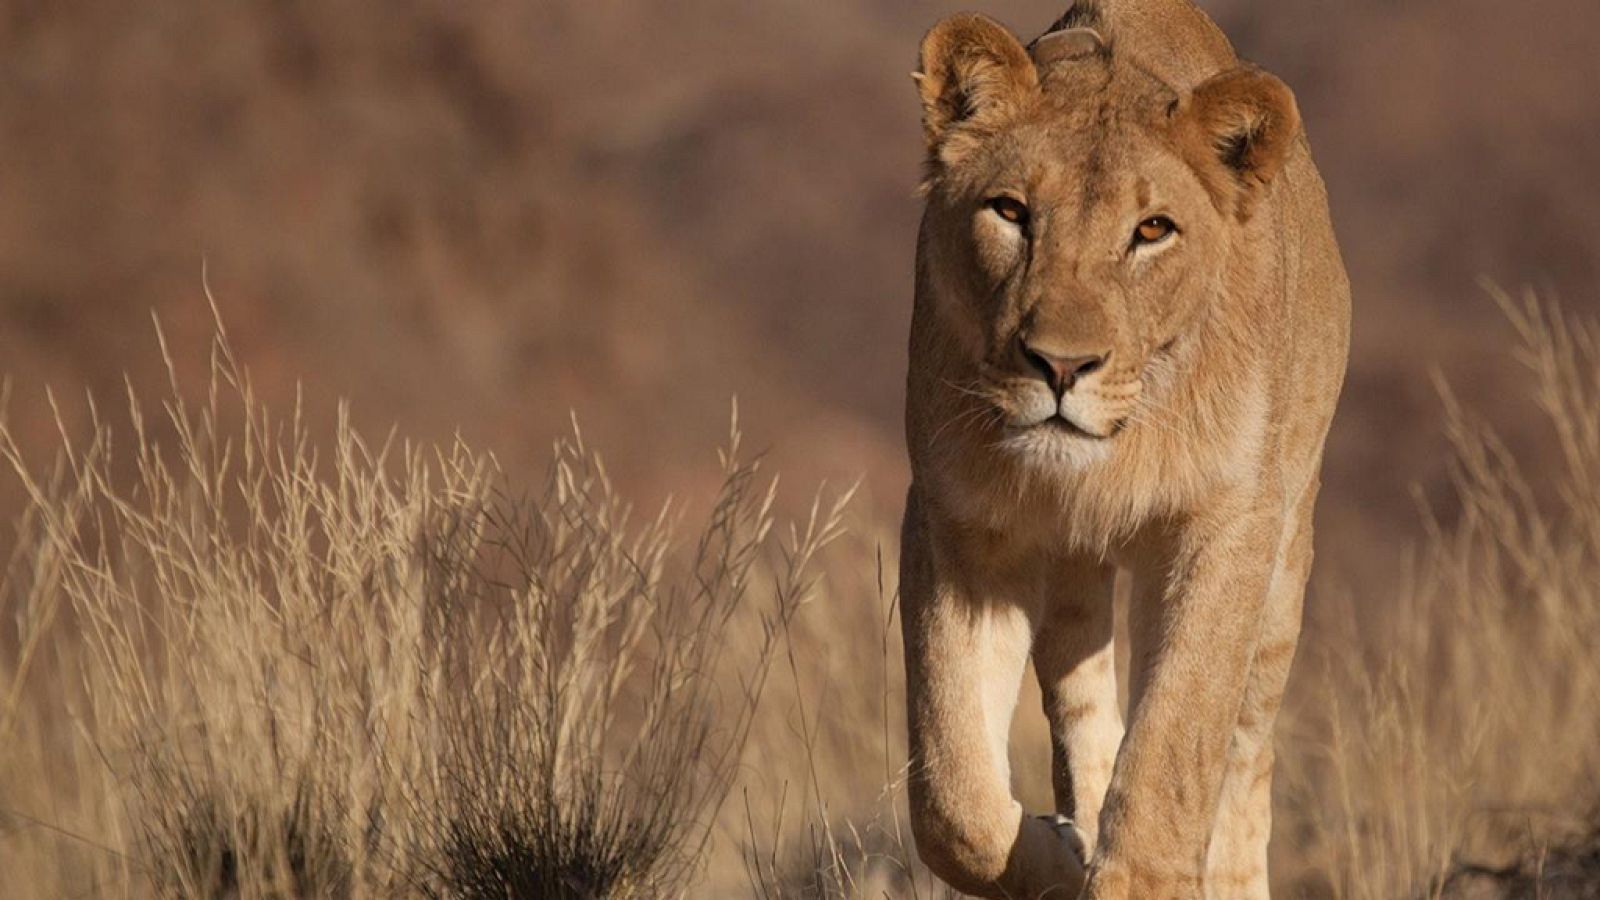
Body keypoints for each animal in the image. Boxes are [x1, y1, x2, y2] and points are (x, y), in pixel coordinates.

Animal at [898, 1, 1350, 897]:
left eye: (1152, 230)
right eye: (1011, 212)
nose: (1061, 366)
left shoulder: (1227, 527)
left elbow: (1173, 757)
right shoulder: (957, 524)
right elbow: (954, 799)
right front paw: (1062, 855)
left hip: (1287, 555)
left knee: (1246, 755)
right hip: (1074, 577)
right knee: (1081, 702)